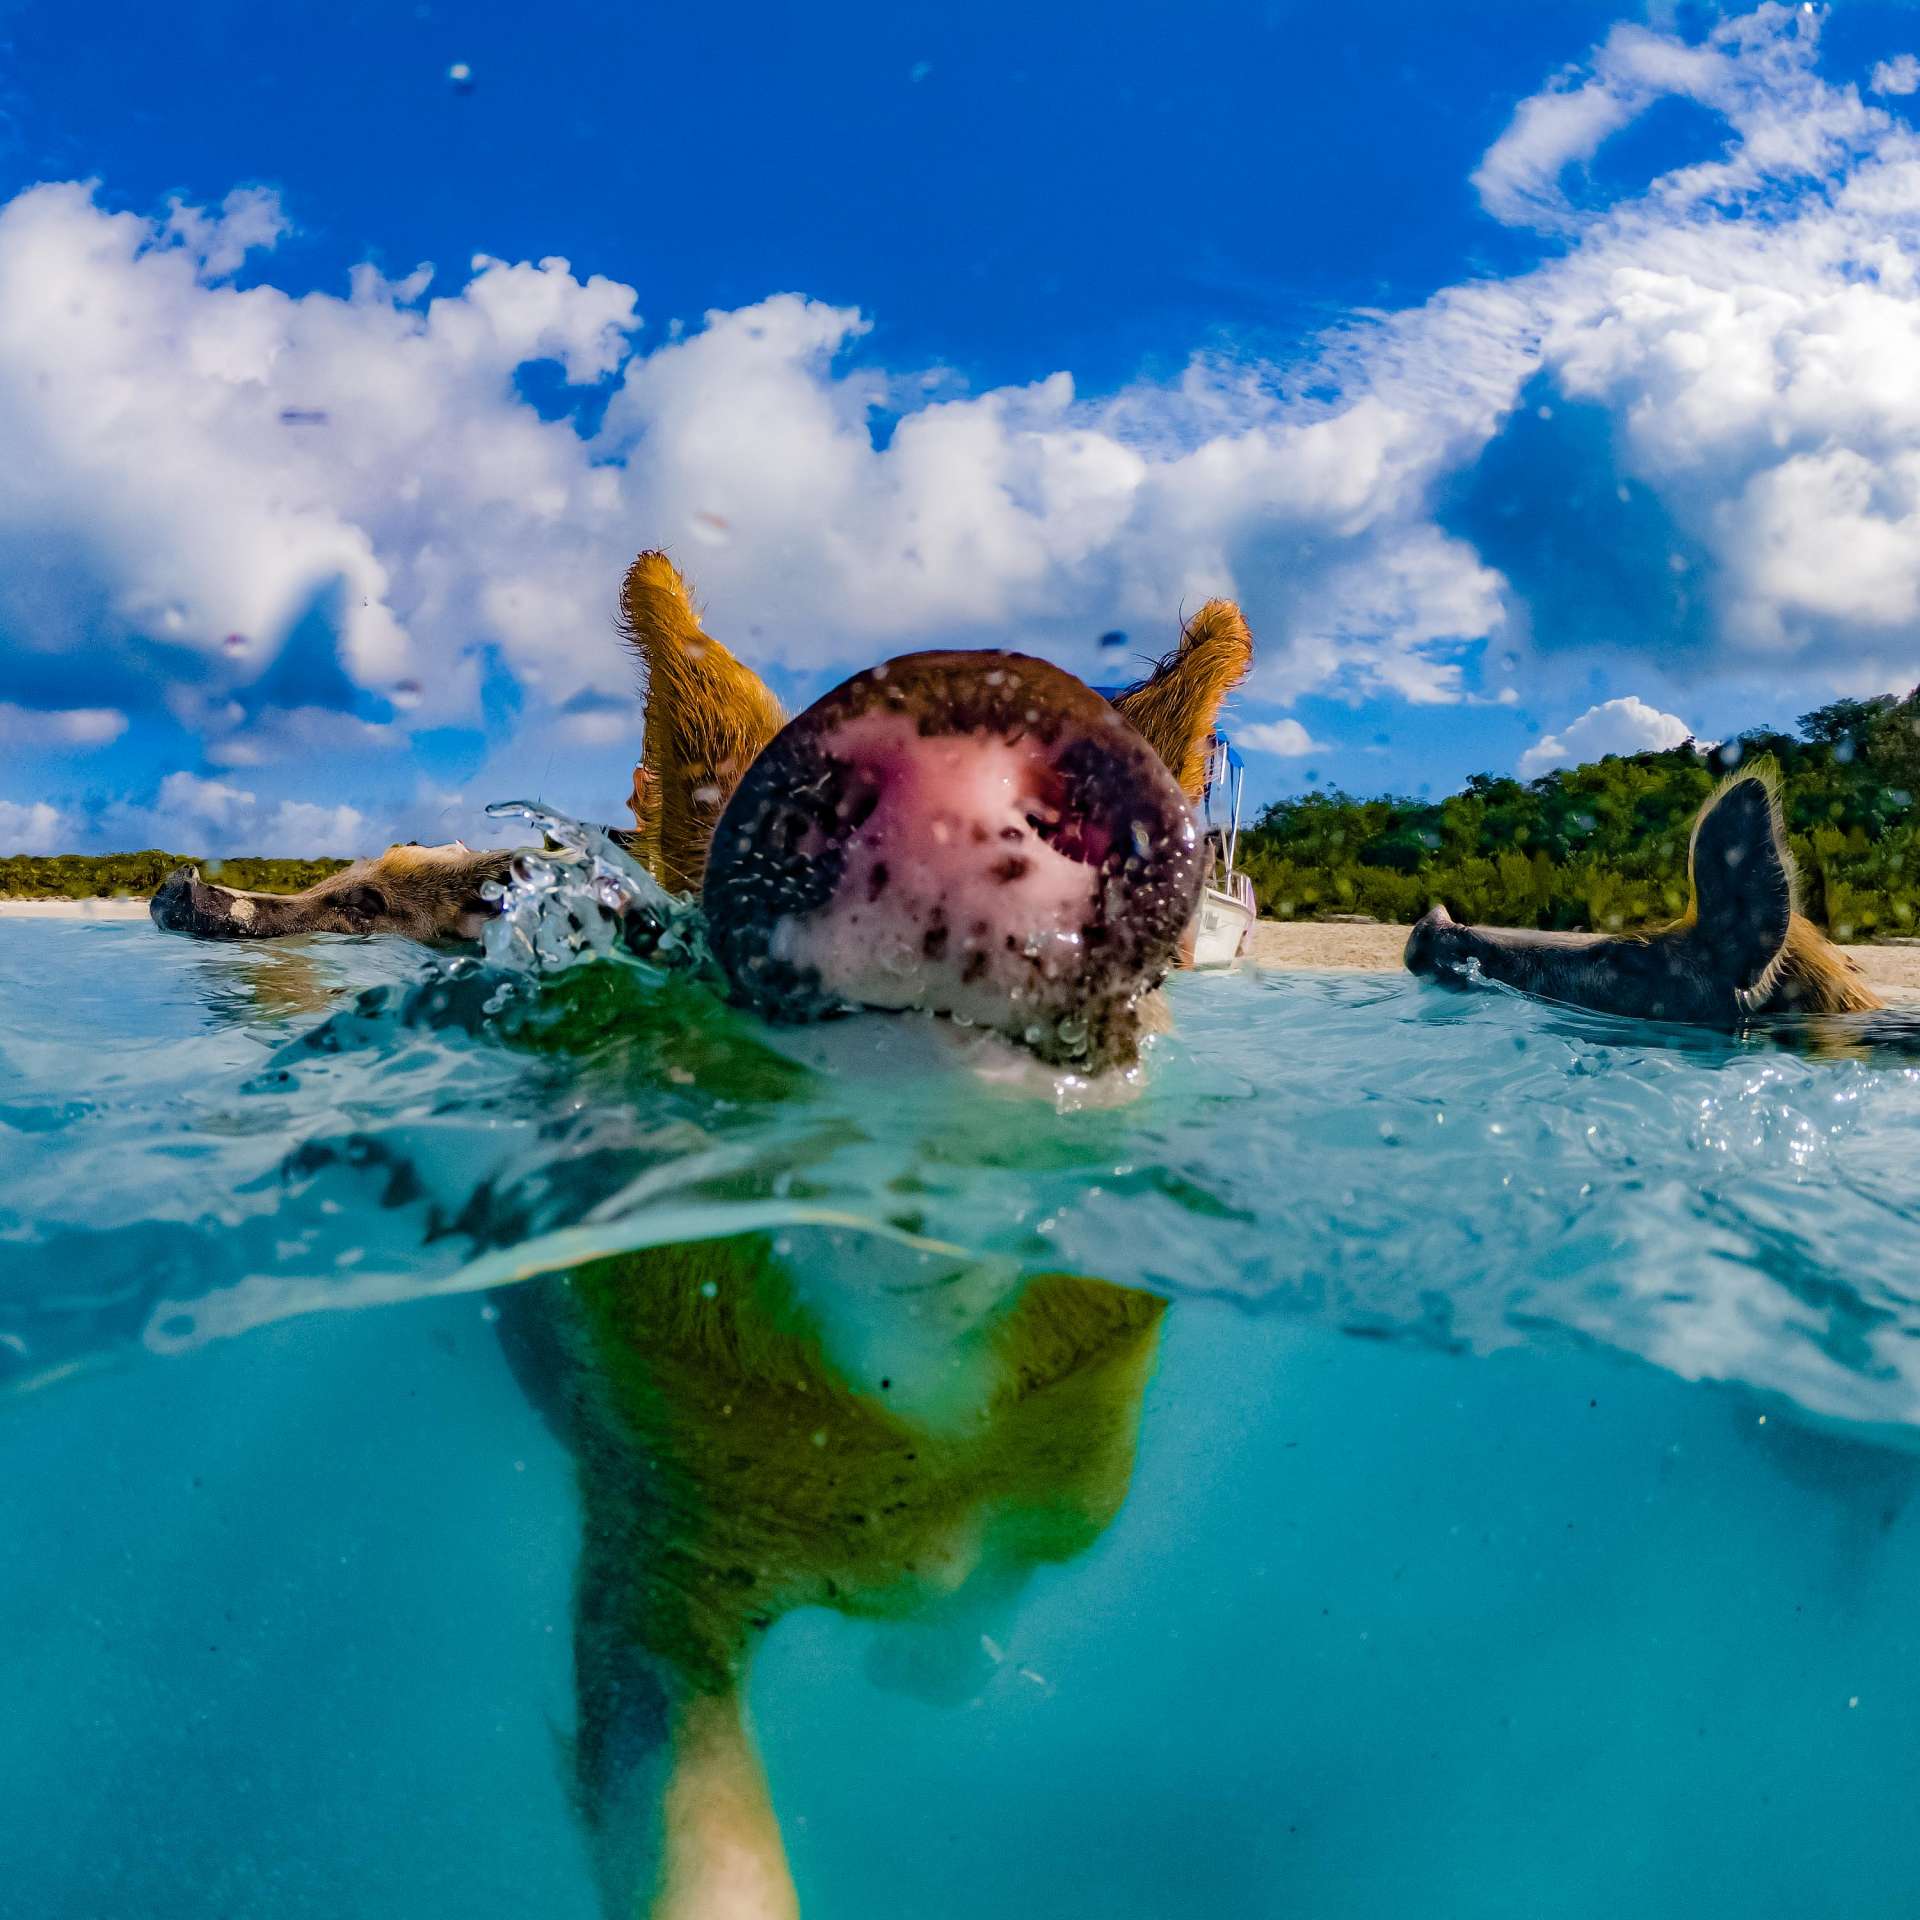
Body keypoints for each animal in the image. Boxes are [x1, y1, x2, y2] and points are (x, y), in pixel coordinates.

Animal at [153, 549, 1259, 1912]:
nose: (964, 690)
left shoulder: (1088, 1461)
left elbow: (1007, 1572)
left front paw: (928, 1675)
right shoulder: (646, 1549)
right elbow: (701, 1845)